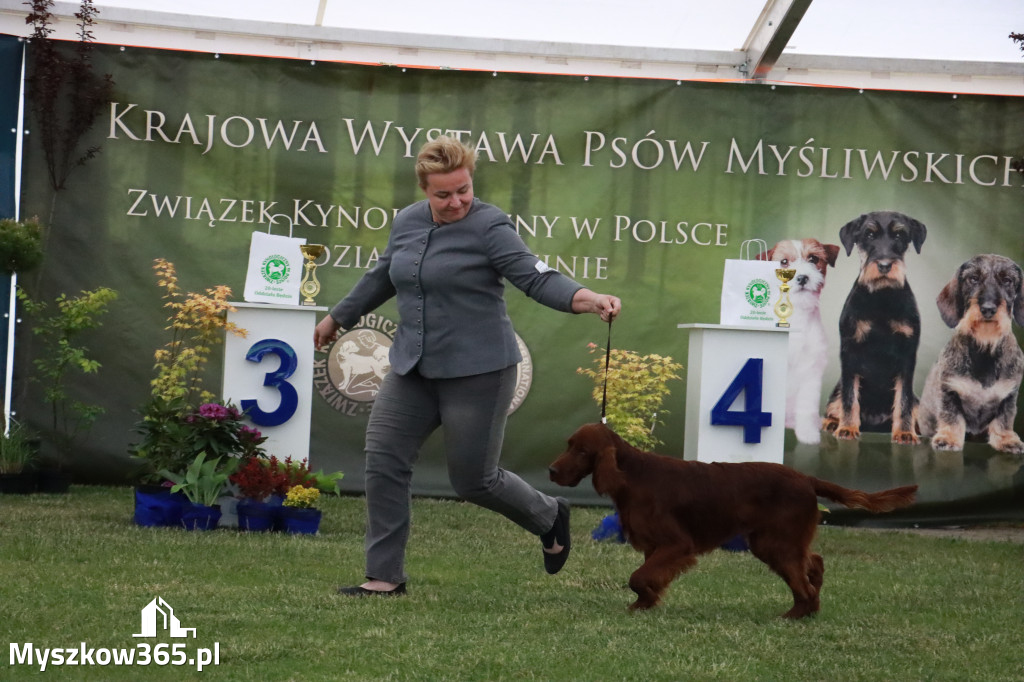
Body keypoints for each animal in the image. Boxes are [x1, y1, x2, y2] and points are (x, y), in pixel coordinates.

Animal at [552, 419, 921, 614]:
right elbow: (646, 578)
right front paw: (645, 605)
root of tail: (807, 478)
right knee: (813, 562)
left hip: (775, 543)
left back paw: (796, 614)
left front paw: (642, 603)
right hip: (772, 542)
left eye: (581, 451)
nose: (552, 471)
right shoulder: (655, 547)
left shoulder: (676, 544)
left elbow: (638, 577)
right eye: (567, 444)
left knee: (802, 580)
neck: (632, 475)